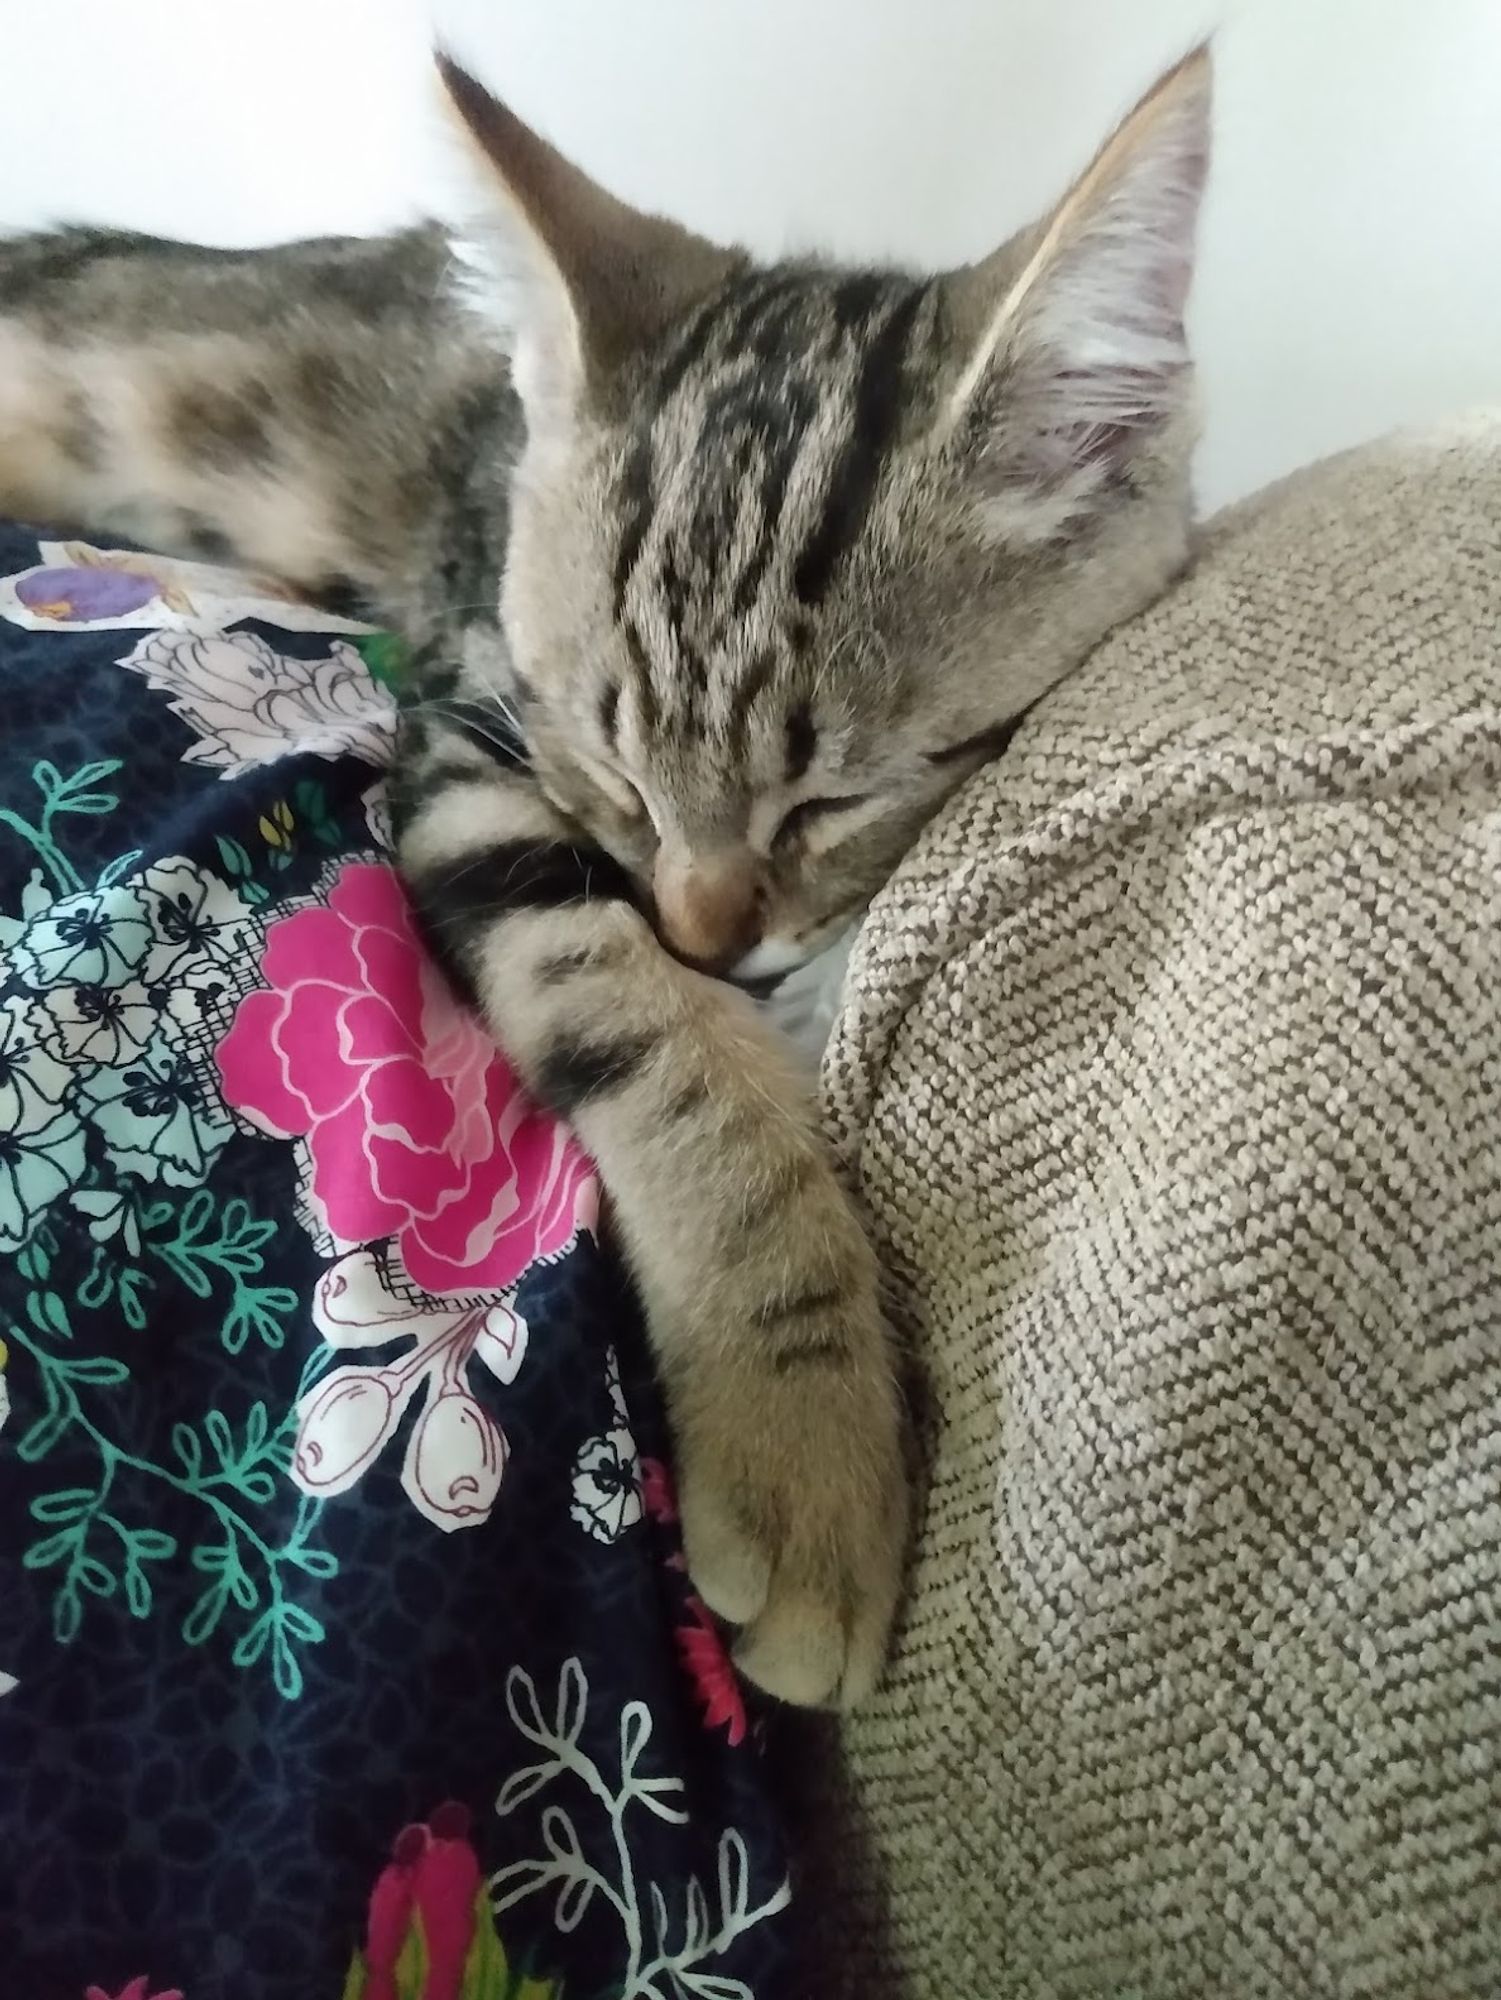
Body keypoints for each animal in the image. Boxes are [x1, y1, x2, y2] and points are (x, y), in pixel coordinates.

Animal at [0, 47, 1208, 1704]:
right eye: (617, 767)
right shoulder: (465, 742)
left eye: (832, 796)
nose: (706, 933)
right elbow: (652, 1041)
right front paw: (802, 1435)